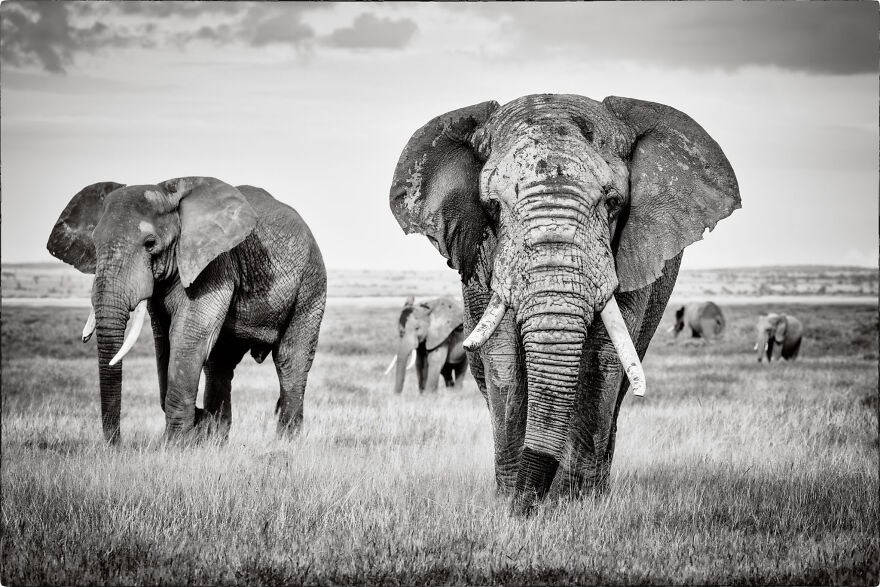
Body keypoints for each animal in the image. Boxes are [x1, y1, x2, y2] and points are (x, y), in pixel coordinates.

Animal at [47, 177, 326, 444]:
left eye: (150, 243)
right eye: (94, 244)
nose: (115, 446)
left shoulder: (214, 265)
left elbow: (187, 338)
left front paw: (174, 446)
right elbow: (165, 342)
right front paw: (198, 427)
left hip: (311, 284)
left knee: (291, 361)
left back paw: (284, 444)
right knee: (219, 365)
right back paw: (215, 439)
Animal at [389, 94, 740, 514]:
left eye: (613, 203)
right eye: (492, 207)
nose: (525, 508)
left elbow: (601, 360)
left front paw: (576, 503)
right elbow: (504, 359)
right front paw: (510, 501)